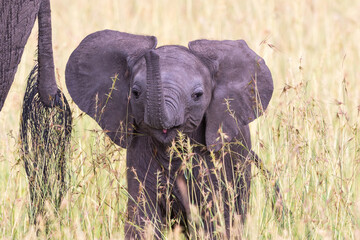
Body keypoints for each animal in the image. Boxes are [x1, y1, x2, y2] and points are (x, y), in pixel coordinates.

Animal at [65, 31, 272, 239]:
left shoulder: (219, 159)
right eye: (135, 92)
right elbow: (143, 217)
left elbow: (215, 217)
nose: (151, 54)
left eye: (197, 95)